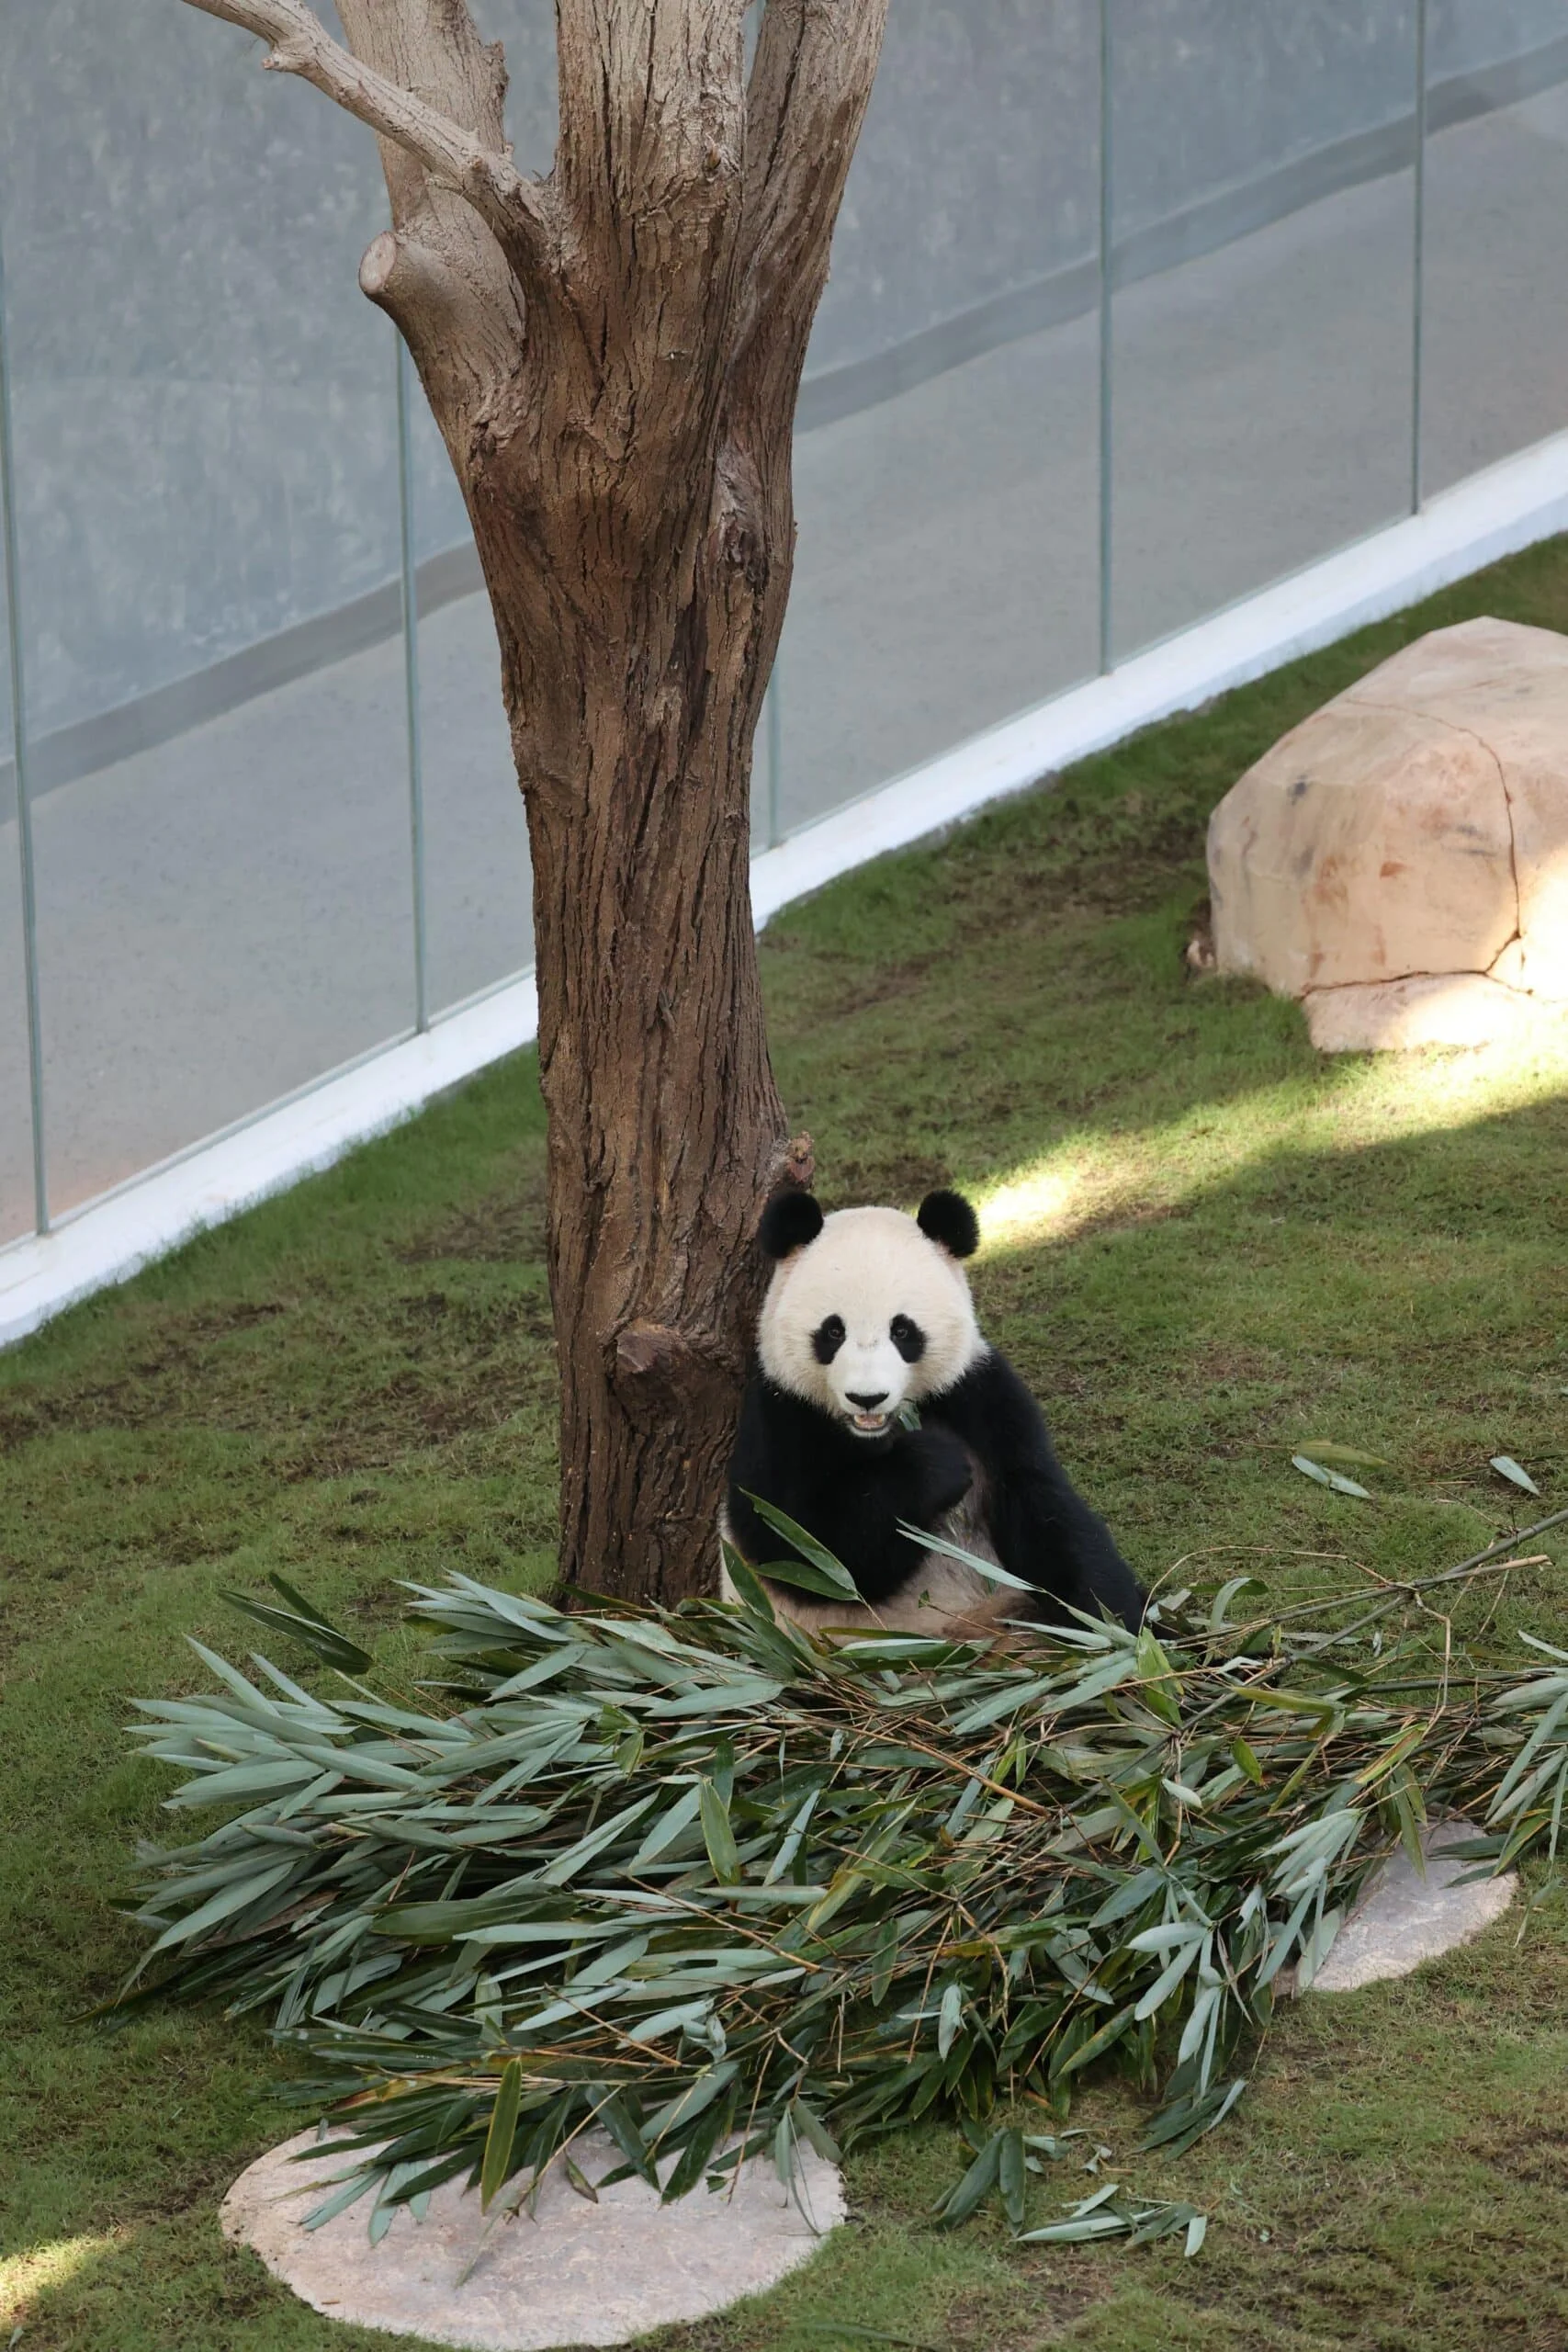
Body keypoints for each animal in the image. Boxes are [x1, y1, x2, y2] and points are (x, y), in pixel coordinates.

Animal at [721, 1187, 1145, 1639]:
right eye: (833, 1331)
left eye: (902, 1330)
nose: (867, 1397)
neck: (878, 1433)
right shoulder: (781, 1411)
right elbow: (801, 1547)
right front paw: (935, 1464)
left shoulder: (979, 1394)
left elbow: (1043, 1509)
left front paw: (1117, 1630)